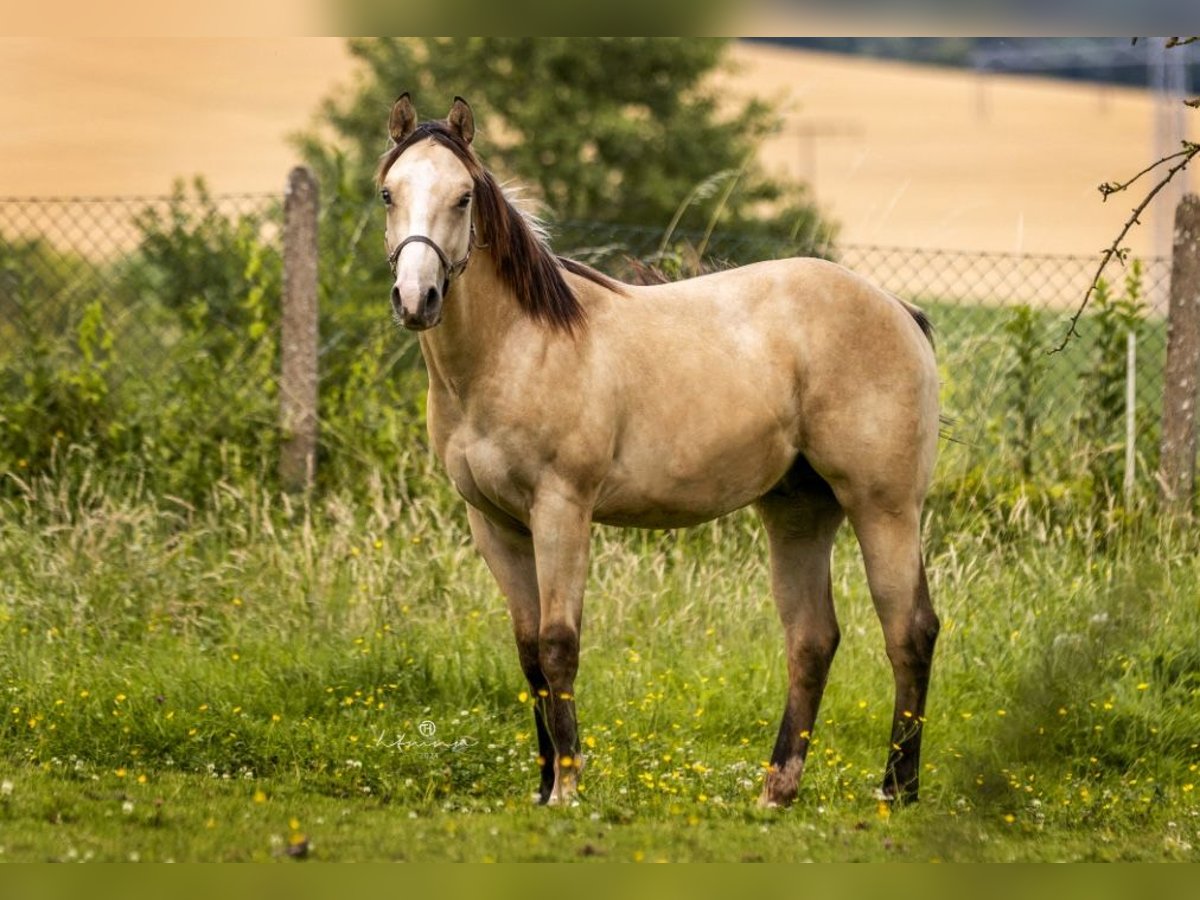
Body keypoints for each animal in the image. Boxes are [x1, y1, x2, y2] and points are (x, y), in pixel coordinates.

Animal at [379, 93, 940, 811]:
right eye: (388, 192)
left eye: (463, 196)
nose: (415, 298)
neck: (517, 347)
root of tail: (898, 308)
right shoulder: (496, 524)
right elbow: (529, 652)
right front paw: (543, 785)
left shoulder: (561, 510)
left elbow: (558, 645)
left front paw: (568, 787)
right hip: (799, 514)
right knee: (812, 640)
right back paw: (776, 791)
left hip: (884, 507)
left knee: (909, 632)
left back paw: (896, 789)